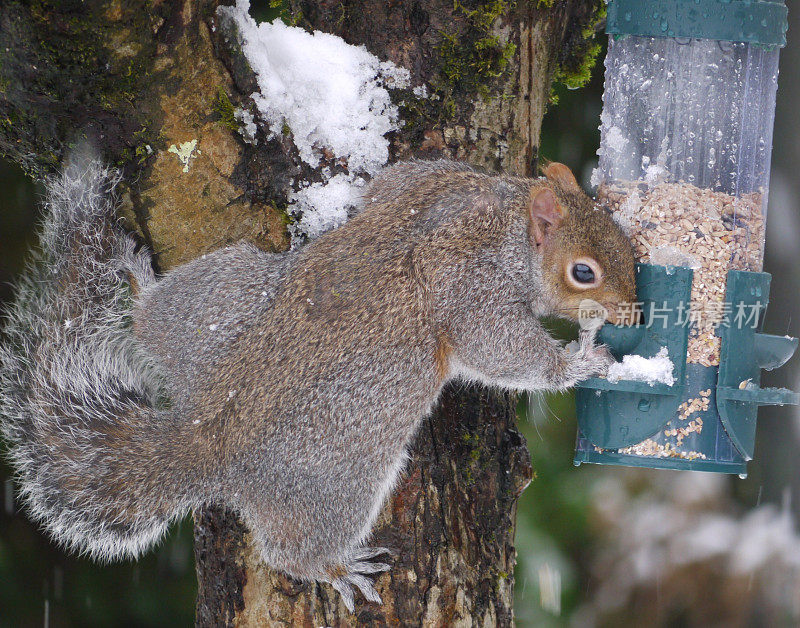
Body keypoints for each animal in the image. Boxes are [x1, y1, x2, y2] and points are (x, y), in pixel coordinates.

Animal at [1, 150, 636, 612]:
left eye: (625, 242)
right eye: (583, 273)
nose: (632, 311)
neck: (505, 221)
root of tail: (203, 434)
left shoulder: (430, 186)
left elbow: (393, 182)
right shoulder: (471, 289)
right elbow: (501, 350)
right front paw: (580, 361)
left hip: (220, 294)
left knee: (148, 319)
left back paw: (137, 284)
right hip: (334, 483)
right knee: (290, 552)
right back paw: (336, 567)